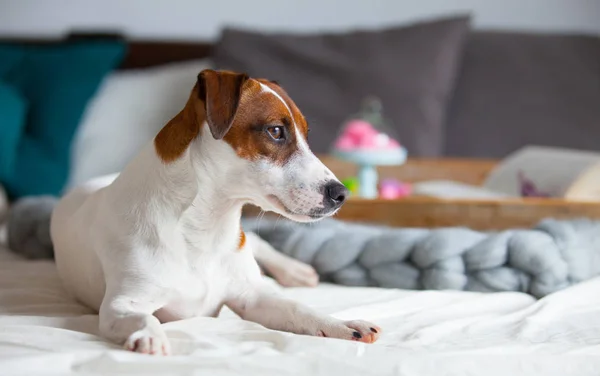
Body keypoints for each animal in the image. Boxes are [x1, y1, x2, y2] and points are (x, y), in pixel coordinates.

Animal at [50, 70, 380, 356]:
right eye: (276, 131)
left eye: (306, 135)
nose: (341, 194)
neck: (204, 225)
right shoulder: (121, 304)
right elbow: (144, 317)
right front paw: (149, 335)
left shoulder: (252, 298)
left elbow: (299, 309)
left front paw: (341, 324)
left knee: (259, 244)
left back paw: (294, 270)